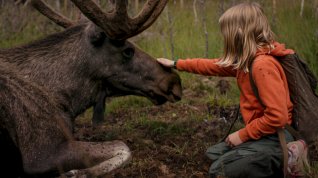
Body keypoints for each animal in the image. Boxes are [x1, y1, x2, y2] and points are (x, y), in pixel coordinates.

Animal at [0, 0, 183, 177]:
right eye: (128, 51)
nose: (175, 81)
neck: (68, 101)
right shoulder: (41, 154)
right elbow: (123, 146)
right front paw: (76, 173)